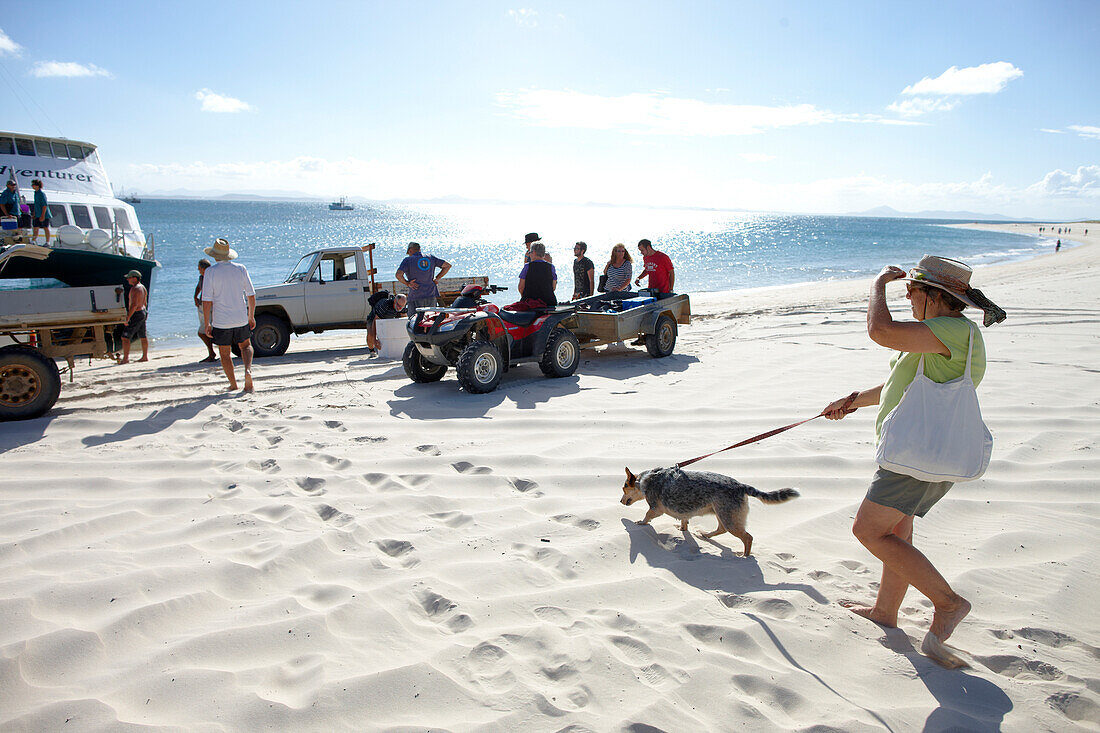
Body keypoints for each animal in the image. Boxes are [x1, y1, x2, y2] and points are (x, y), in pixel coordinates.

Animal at [620, 464, 800, 550]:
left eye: (624, 488)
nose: (620, 502)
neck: (644, 480)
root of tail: (742, 486)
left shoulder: (655, 508)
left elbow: (647, 516)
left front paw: (640, 523)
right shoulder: (683, 511)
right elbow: (684, 521)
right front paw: (682, 529)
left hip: (729, 519)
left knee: (748, 537)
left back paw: (744, 556)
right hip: (721, 514)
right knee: (721, 529)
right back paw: (705, 535)